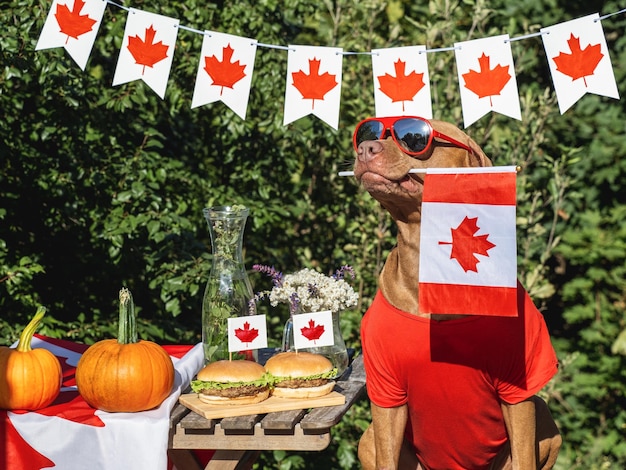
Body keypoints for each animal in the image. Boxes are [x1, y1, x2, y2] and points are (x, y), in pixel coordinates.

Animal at [352, 115, 560, 468]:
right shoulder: (386, 392)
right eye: (371, 131)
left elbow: (524, 455)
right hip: (368, 439)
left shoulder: (519, 389)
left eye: (413, 138)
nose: (366, 148)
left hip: (545, 418)